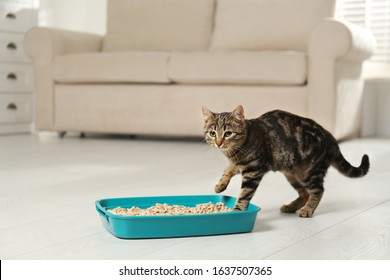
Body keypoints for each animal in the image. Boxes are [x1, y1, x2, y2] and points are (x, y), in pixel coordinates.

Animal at [203, 105, 370, 217]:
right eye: (212, 133)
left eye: (228, 133)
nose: (218, 143)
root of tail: (329, 134)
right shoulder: (239, 165)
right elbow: (227, 170)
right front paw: (220, 185)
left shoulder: (253, 170)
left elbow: (244, 193)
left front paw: (237, 210)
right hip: (292, 174)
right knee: (305, 194)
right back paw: (290, 207)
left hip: (310, 172)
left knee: (318, 191)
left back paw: (307, 209)